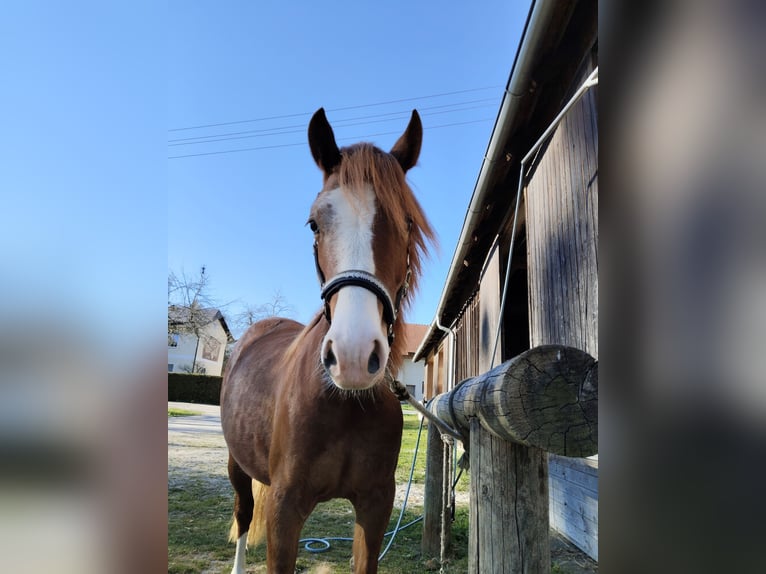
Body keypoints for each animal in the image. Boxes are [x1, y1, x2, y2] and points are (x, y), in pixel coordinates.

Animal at [220, 107, 434, 574]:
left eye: (407, 222)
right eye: (314, 223)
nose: (353, 356)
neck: (344, 403)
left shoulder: (375, 506)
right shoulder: (285, 511)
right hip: (236, 465)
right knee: (244, 515)